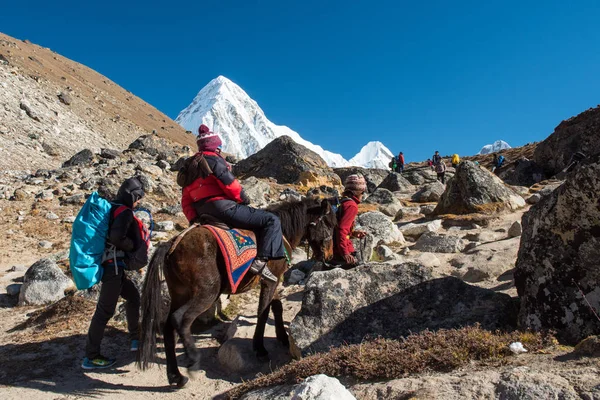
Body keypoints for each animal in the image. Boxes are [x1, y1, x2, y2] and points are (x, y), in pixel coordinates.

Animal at [137, 197, 338, 388]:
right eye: (329, 224)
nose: (329, 257)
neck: (281, 233)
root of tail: (172, 246)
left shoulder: (274, 279)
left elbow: (276, 306)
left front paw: (282, 337)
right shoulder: (269, 281)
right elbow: (263, 311)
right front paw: (260, 348)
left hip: (179, 294)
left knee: (168, 328)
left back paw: (176, 376)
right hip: (206, 293)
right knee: (181, 319)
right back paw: (193, 360)